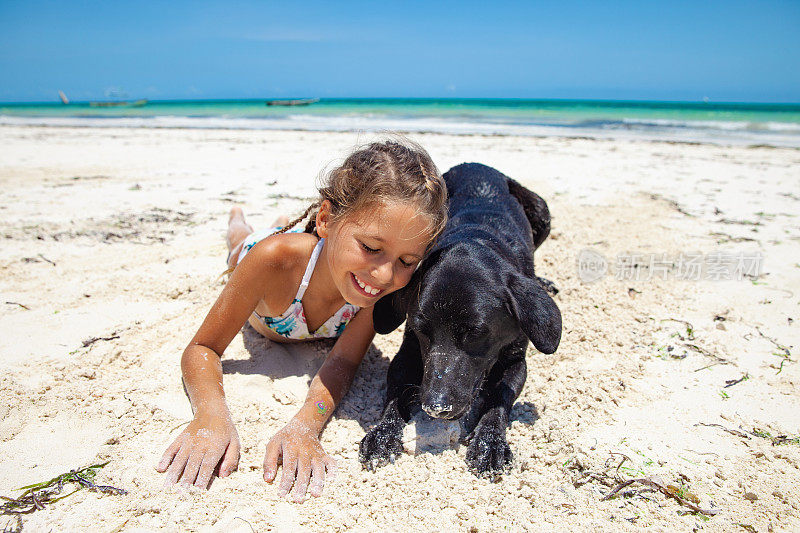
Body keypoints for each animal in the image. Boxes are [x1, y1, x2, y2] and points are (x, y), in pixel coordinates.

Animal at [360, 161, 560, 474]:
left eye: (476, 333)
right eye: (421, 330)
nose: (435, 407)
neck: (476, 237)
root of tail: (476, 164)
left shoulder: (516, 360)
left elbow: (499, 398)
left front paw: (490, 443)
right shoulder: (408, 353)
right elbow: (396, 392)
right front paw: (383, 434)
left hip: (542, 211)